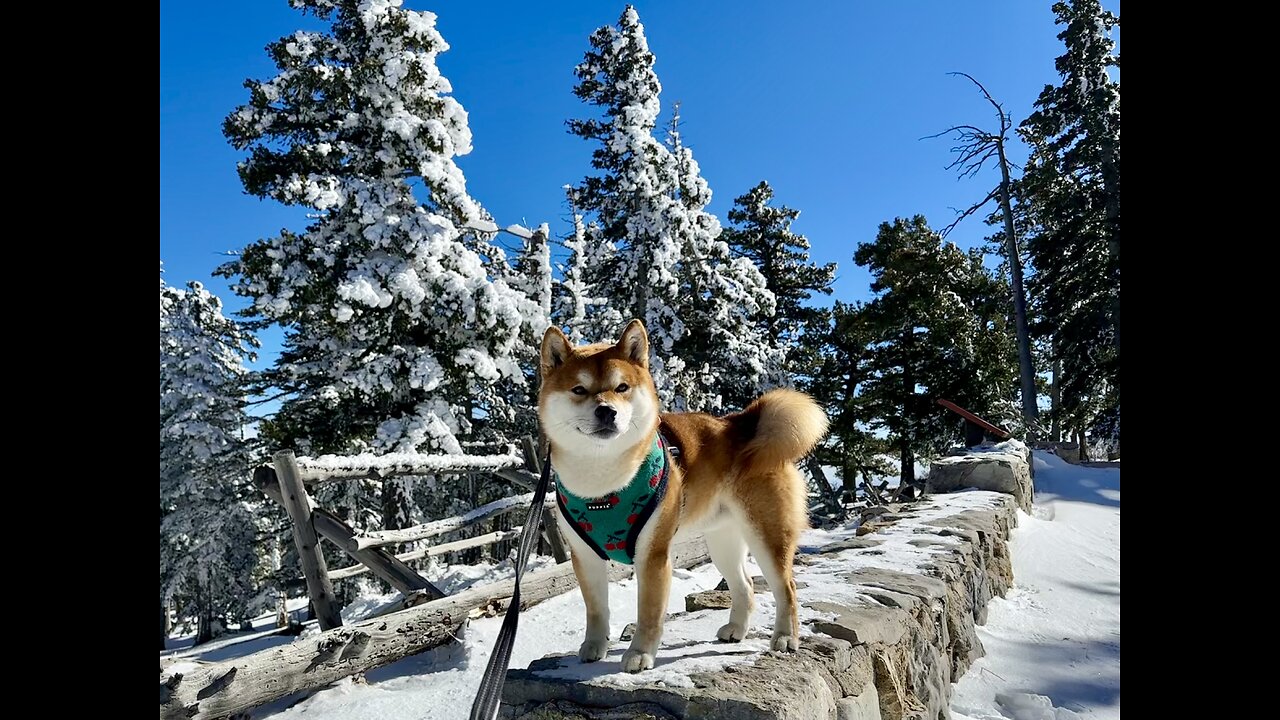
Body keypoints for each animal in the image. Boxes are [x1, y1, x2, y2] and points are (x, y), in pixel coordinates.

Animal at [535, 316, 824, 671]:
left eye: (622, 388)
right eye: (579, 389)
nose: (606, 411)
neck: (603, 484)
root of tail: (741, 423)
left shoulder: (653, 553)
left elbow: (648, 612)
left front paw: (640, 653)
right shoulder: (584, 556)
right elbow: (596, 609)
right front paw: (593, 646)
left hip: (766, 532)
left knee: (787, 587)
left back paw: (785, 637)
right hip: (723, 540)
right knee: (744, 586)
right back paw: (736, 630)